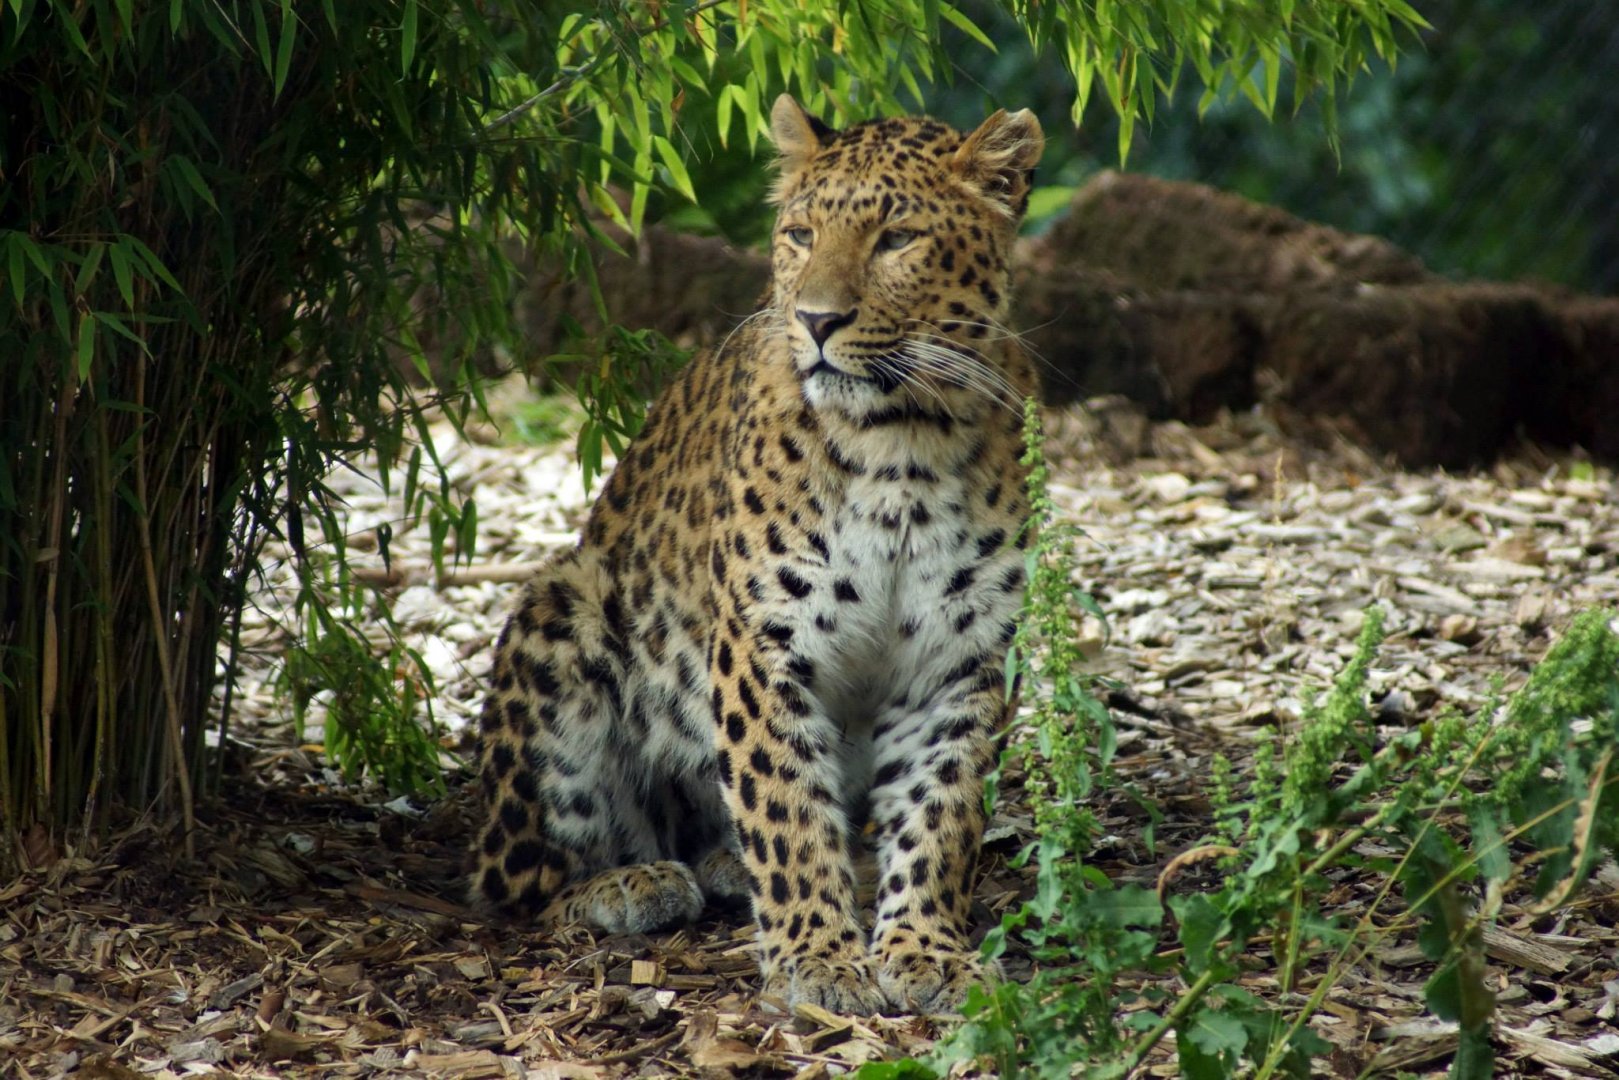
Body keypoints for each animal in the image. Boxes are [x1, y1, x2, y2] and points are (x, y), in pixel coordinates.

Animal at [469, 94, 1043, 1015]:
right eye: (801, 234)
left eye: (896, 239)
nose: (817, 320)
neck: (900, 447)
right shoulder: (765, 640)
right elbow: (783, 802)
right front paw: (818, 957)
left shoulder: (962, 657)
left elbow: (941, 812)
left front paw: (927, 951)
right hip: (565, 607)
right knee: (510, 885)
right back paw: (630, 883)